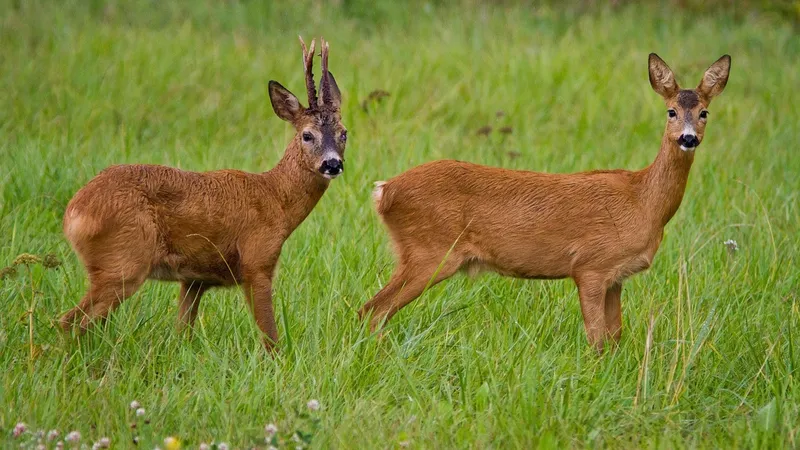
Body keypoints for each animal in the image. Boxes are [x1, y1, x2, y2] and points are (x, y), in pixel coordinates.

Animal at [59, 37, 346, 352]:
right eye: (307, 135)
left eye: (344, 133)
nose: (333, 164)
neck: (275, 199)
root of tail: (74, 212)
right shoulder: (257, 261)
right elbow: (270, 338)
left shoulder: (194, 279)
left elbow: (183, 331)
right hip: (123, 262)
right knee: (70, 321)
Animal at [360, 53, 732, 352]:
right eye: (671, 111)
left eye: (704, 112)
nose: (688, 138)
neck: (643, 201)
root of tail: (384, 190)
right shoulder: (590, 265)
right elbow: (596, 339)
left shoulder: (616, 276)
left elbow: (615, 337)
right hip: (430, 251)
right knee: (373, 310)